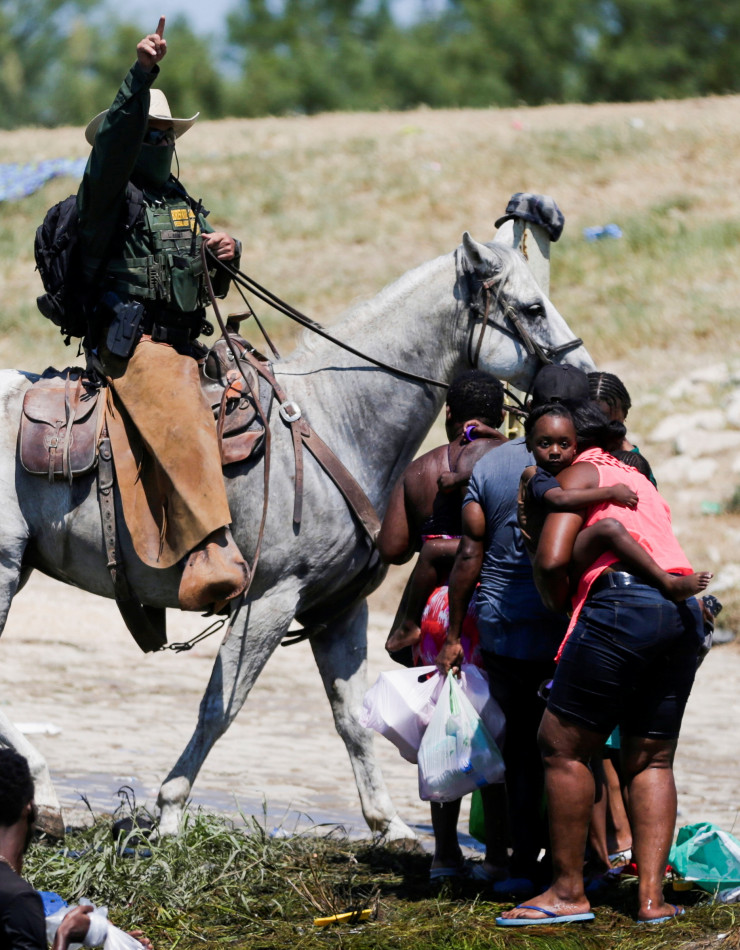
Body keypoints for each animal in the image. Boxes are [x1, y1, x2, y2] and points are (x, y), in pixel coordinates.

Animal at [0, 230, 594, 838]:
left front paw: (391, 826)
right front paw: (168, 812)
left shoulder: (338, 609)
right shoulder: (269, 599)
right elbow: (221, 706)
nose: (583, 382)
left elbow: (352, 718)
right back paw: (45, 793)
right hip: (4, 569)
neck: (338, 420)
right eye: (533, 308)